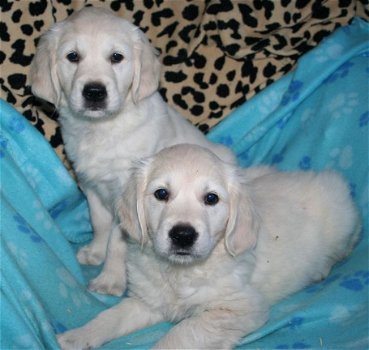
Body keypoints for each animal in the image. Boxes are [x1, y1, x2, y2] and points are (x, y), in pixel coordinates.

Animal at [30, 6, 234, 296]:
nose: (94, 92)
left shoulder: (126, 196)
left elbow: (117, 240)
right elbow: (99, 222)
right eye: (73, 57)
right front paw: (95, 252)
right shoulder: (91, 186)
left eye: (116, 57)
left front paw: (110, 279)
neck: (103, 128)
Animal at [58, 145, 360, 350]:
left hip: (342, 221)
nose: (182, 235)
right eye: (161, 194)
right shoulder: (149, 300)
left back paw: (321, 268)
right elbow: (112, 316)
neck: (181, 272)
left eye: (211, 198)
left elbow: (182, 332)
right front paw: (77, 336)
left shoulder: (238, 309)